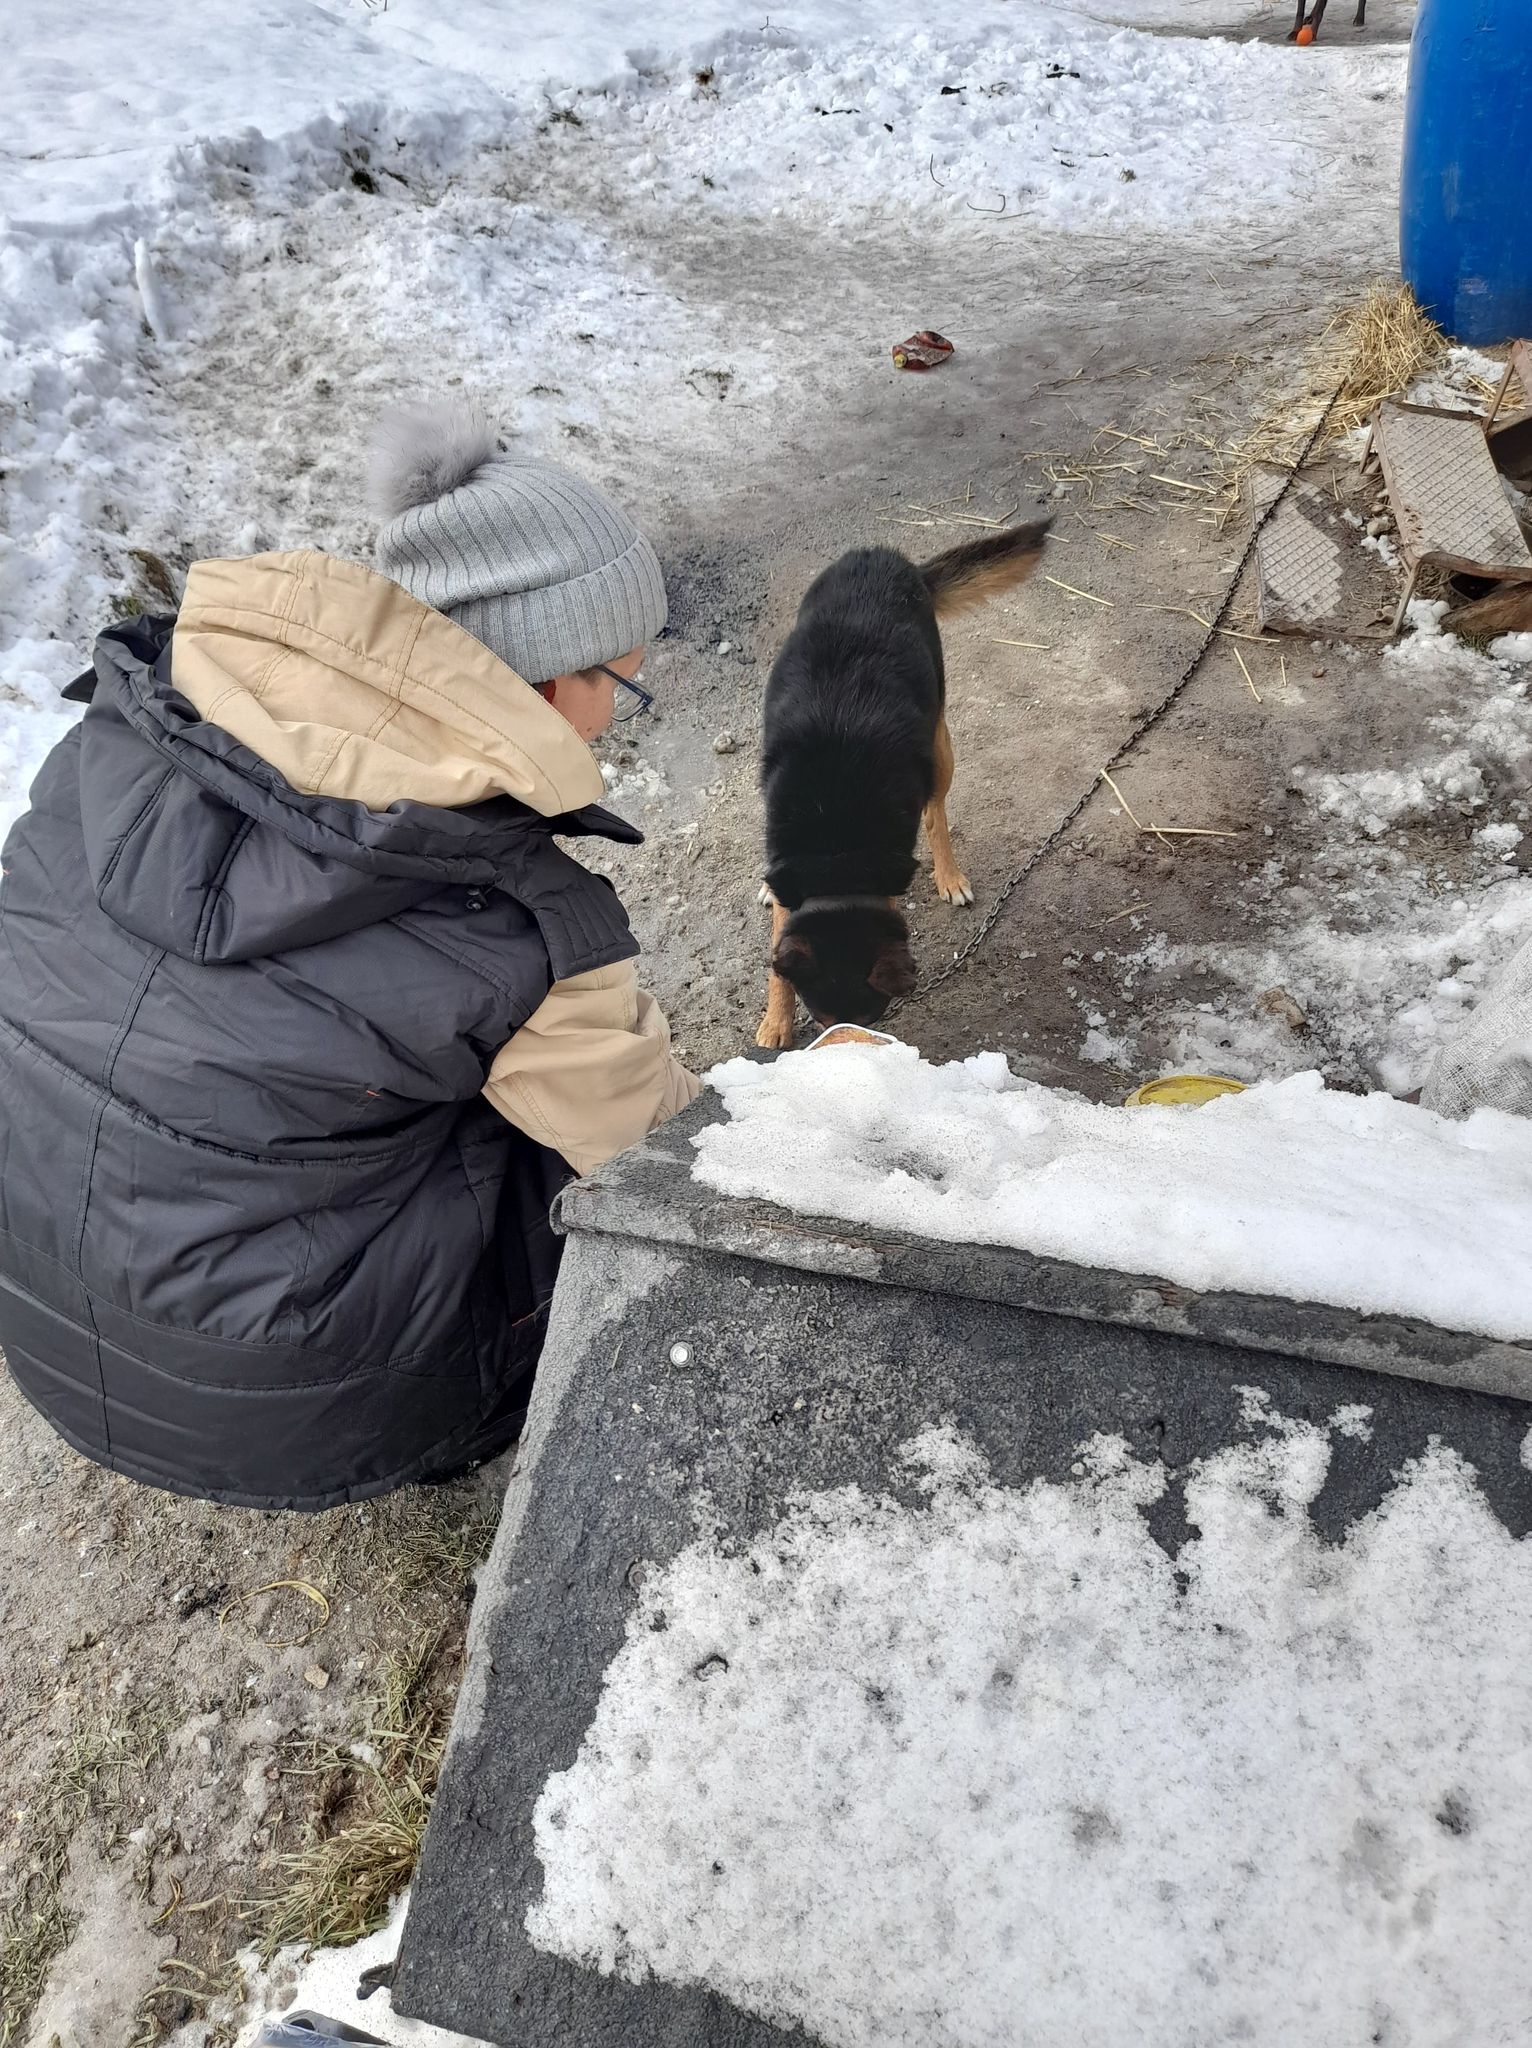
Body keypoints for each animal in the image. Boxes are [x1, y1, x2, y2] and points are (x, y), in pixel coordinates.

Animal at [755, 519, 1051, 1048]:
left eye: (868, 1019)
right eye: (824, 1020)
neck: (837, 856)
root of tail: (885, 556)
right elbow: (780, 953)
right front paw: (776, 1021)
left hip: (939, 744)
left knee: (936, 812)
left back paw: (949, 875)